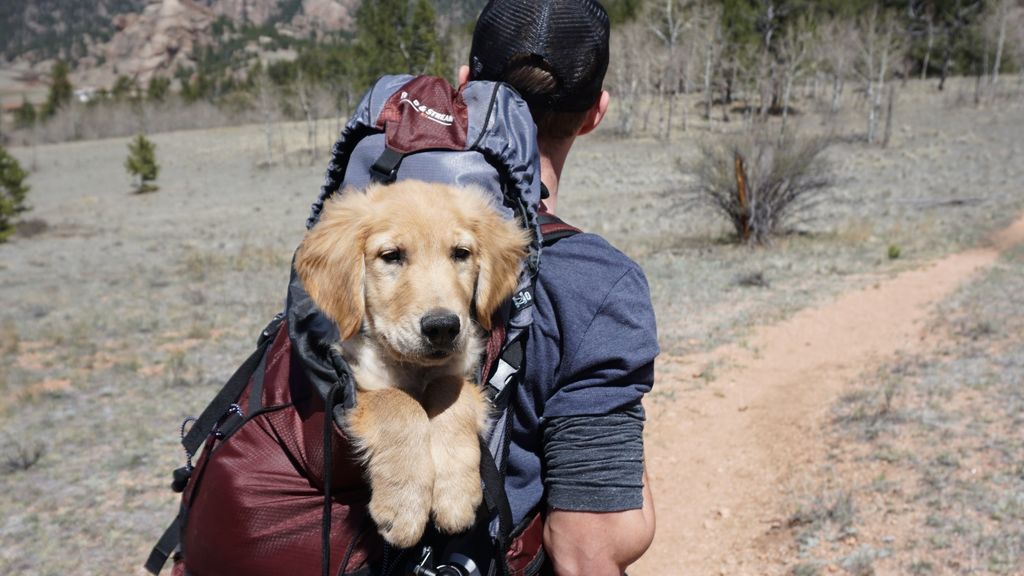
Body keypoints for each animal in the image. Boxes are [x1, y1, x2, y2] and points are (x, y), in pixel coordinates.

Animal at [294, 177, 528, 545]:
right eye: (391, 256)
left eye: (460, 254)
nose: (443, 327)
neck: (414, 369)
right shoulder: (355, 383)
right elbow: (399, 403)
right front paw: (404, 506)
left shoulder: (462, 370)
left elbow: (450, 392)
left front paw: (455, 494)